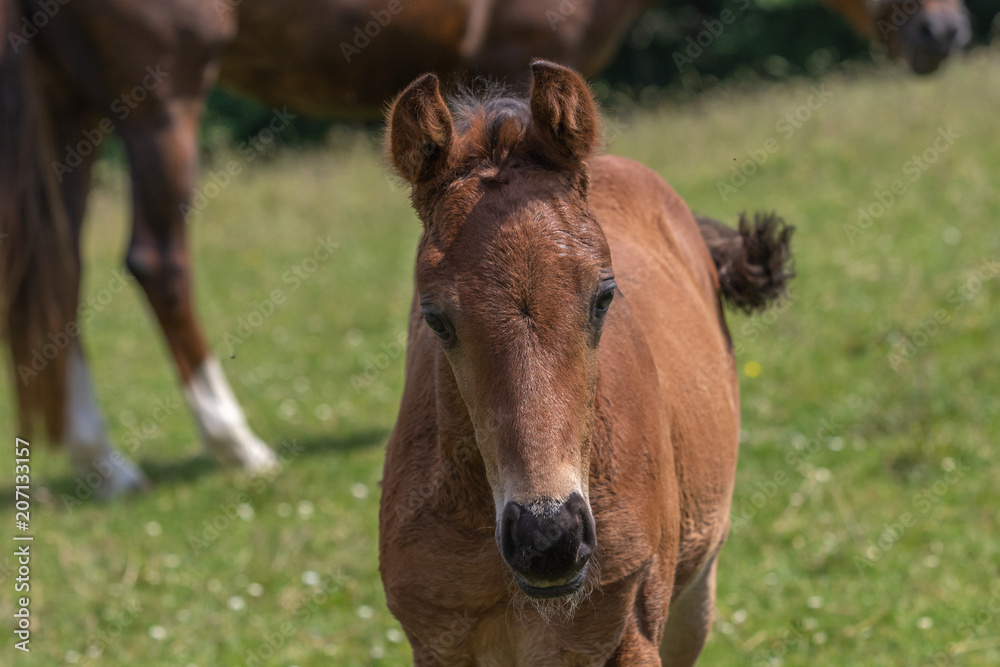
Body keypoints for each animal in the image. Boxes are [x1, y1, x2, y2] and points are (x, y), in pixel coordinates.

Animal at [0, 0, 956, 500]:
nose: (943, 31)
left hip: (70, 105)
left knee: (57, 275)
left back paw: (102, 457)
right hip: (161, 90)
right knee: (154, 258)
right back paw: (236, 441)